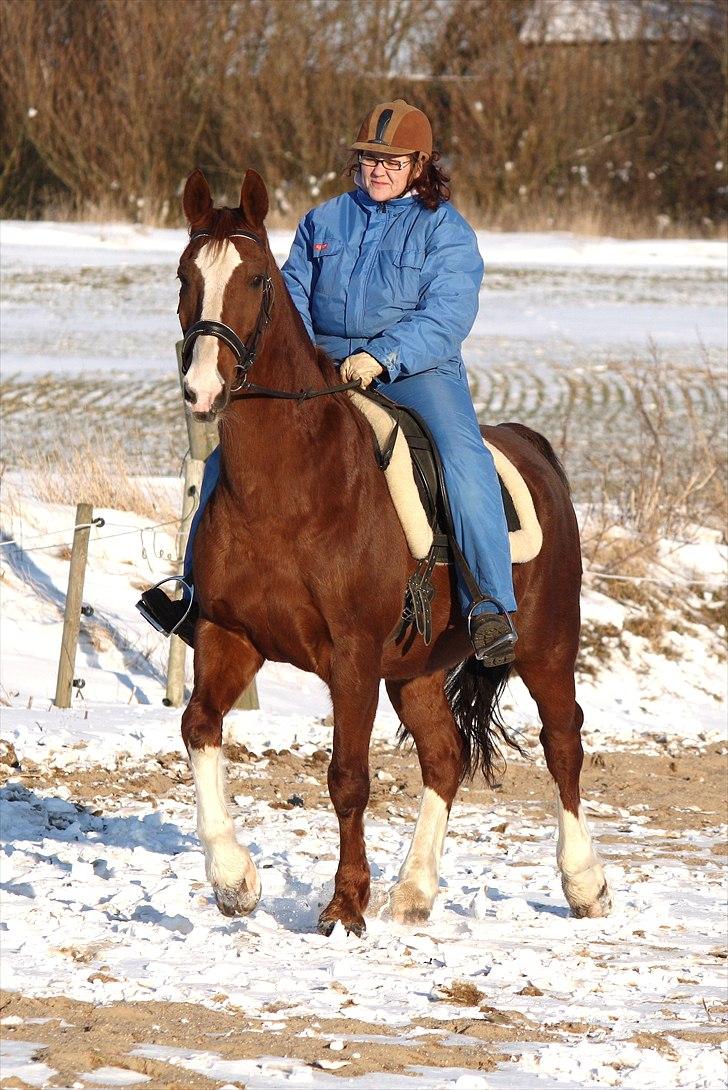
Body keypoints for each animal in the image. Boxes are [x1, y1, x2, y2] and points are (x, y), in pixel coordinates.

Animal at [178, 170, 610, 937]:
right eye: (183, 276)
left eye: (256, 279)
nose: (202, 389)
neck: (288, 490)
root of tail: (534, 448)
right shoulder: (229, 635)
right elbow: (199, 727)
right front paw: (234, 880)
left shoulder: (351, 660)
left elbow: (348, 778)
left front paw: (344, 904)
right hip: (415, 671)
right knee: (445, 757)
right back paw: (413, 892)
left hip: (547, 648)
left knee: (564, 745)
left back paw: (584, 883)